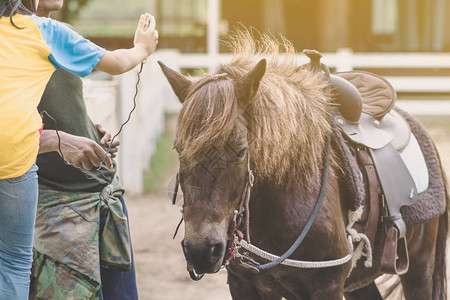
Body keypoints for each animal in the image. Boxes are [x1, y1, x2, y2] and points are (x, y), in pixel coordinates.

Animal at [157, 31, 446, 298]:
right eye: (179, 150)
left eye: (240, 152)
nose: (201, 250)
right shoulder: (245, 285)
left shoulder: (326, 288)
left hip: (419, 269)